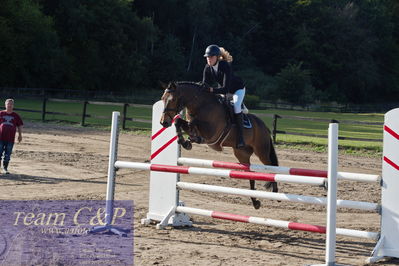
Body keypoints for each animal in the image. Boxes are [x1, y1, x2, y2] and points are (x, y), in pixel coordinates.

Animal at [159, 80, 278, 209]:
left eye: (173, 99)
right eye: (162, 99)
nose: (164, 122)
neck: (201, 105)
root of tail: (264, 126)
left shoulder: (211, 132)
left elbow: (193, 123)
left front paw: (191, 139)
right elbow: (178, 122)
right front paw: (185, 142)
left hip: (261, 151)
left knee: (271, 166)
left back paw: (275, 192)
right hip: (242, 154)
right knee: (250, 174)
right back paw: (255, 202)